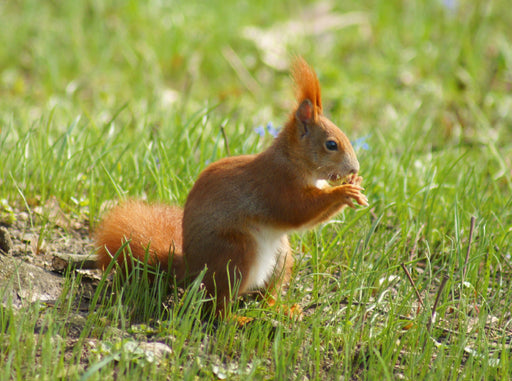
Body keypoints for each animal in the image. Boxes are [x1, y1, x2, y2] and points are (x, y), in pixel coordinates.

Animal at [95, 56, 368, 316]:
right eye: (331, 144)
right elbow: (297, 211)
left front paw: (356, 185)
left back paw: (281, 310)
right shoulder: (275, 184)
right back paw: (238, 319)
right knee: (218, 306)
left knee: (265, 295)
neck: (294, 161)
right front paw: (343, 191)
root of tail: (192, 270)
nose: (354, 169)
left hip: (281, 257)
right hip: (235, 254)